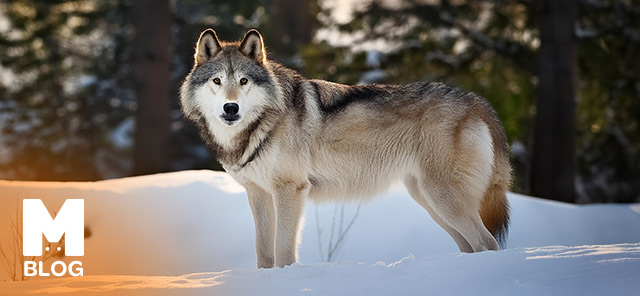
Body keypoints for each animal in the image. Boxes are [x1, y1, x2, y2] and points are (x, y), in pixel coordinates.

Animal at [179, 29, 510, 268]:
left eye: (244, 81)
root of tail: (476, 101)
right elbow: (264, 253)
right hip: (430, 200)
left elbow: (283, 251)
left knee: (488, 243)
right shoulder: (258, 194)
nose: (230, 108)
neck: (262, 124)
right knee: (471, 247)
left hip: (442, 198)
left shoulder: (290, 190)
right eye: (217, 81)